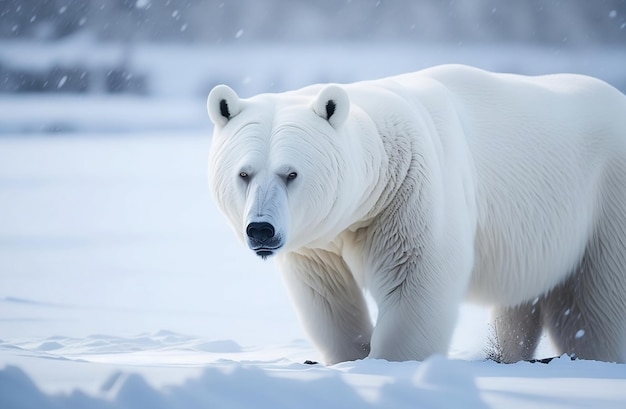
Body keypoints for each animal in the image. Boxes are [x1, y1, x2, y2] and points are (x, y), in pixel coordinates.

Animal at [206, 63, 624, 364]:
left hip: (605, 201)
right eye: (244, 173)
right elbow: (326, 296)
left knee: (593, 311)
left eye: (290, 173)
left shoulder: (410, 192)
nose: (261, 230)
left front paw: (390, 364)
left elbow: (416, 280)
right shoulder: (321, 240)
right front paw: (350, 359)